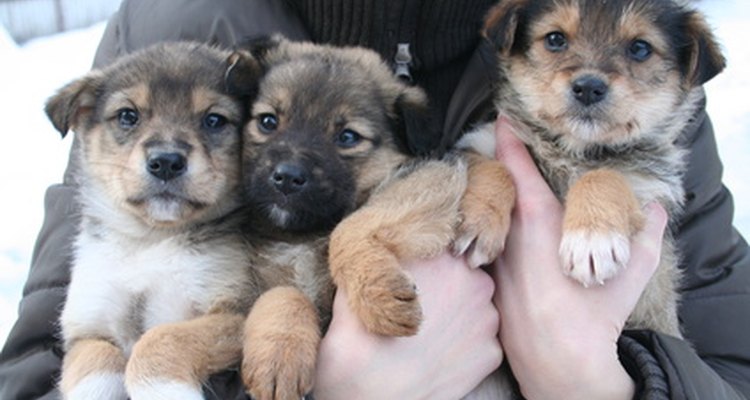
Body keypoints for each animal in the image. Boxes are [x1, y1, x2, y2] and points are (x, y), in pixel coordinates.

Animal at [47, 41, 262, 400]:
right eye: (127, 116)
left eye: (214, 120)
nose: (166, 162)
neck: (148, 242)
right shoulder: (87, 328)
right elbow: (94, 364)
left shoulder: (236, 310)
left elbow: (161, 340)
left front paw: (163, 390)